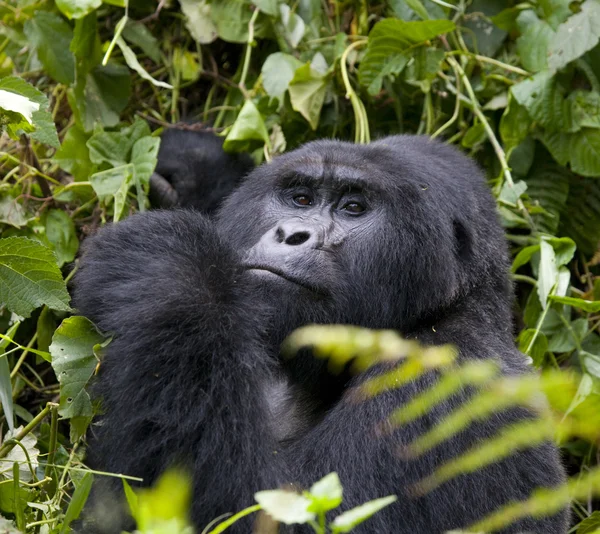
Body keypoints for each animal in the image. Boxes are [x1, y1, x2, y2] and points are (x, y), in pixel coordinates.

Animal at [72, 131, 568, 534]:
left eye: (353, 208)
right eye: (301, 199)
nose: (293, 234)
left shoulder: (443, 389)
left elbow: (262, 512)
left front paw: (166, 264)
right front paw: (194, 168)